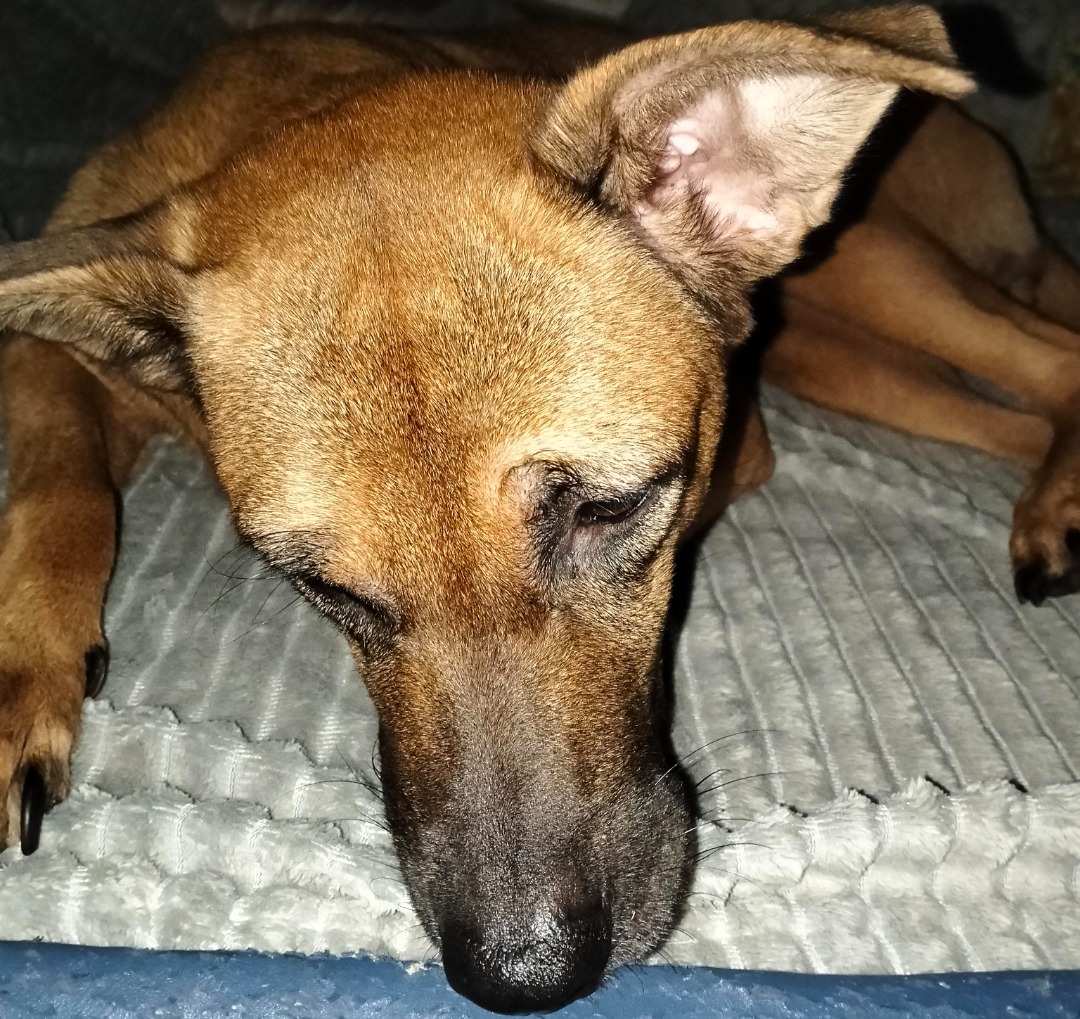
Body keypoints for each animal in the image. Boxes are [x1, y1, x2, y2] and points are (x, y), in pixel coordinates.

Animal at [3, 4, 1073, 1012]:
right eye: (319, 586)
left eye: (609, 509)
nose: (525, 974)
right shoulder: (51, 363)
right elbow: (58, 478)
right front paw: (26, 675)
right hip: (842, 350)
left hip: (869, 271)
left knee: (1051, 356)